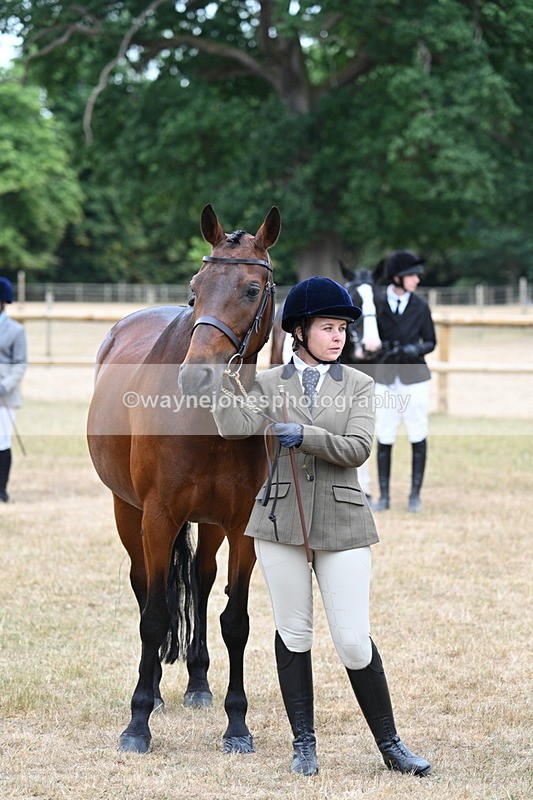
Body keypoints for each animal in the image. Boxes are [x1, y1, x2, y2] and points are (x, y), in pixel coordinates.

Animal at [87, 204, 281, 755]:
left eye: (252, 290)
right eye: (196, 287)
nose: (197, 376)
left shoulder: (240, 526)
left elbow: (235, 621)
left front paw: (237, 725)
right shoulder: (157, 516)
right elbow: (153, 616)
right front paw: (137, 723)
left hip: (210, 524)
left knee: (199, 578)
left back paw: (197, 683)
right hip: (128, 513)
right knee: (144, 589)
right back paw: (153, 691)